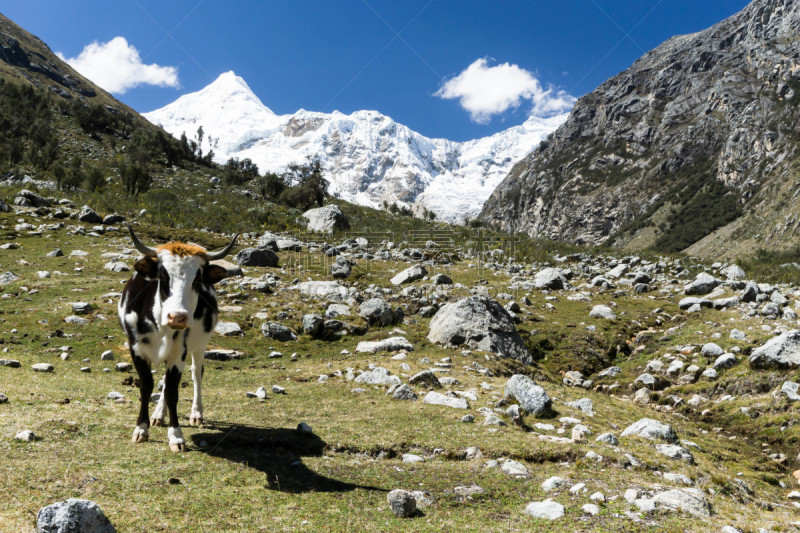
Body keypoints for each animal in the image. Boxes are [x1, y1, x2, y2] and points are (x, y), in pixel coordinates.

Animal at [119, 224, 238, 448]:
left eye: (197, 279)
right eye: (163, 276)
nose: (178, 317)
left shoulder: (178, 352)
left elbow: (173, 392)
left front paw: (176, 435)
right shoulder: (136, 349)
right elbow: (147, 386)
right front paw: (141, 429)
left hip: (200, 345)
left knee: (196, 373)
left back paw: (196, 413)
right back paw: (158, 415)